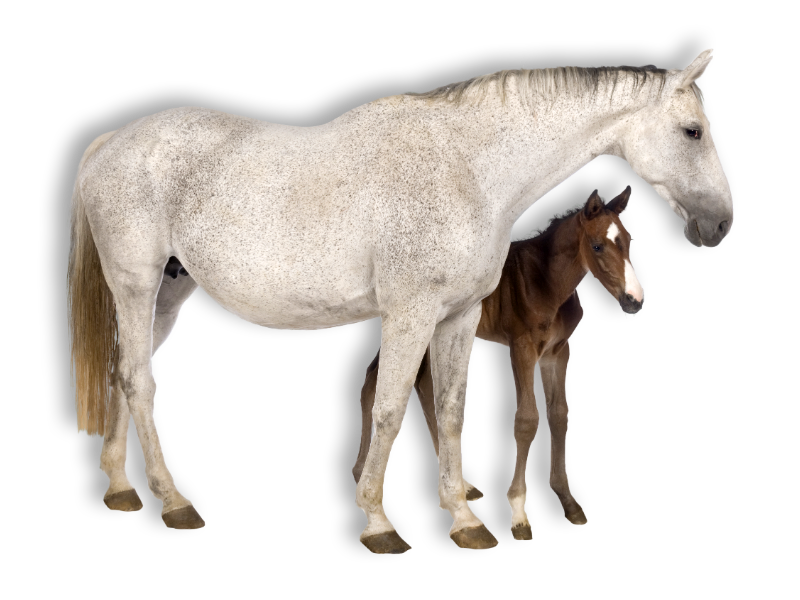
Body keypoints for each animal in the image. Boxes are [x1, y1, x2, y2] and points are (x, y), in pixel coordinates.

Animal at [352, 185, 644, 540]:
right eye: (597, 245)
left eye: (629, 241)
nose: (634, 301)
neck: (547, 282)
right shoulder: (522, 349)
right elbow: (526, 420)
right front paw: (518, 513)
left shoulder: (558, 352)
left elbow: (559, 415)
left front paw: (568, 501)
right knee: (373, 383)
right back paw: (362, 476)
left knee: (420, 386)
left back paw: (459, 486)